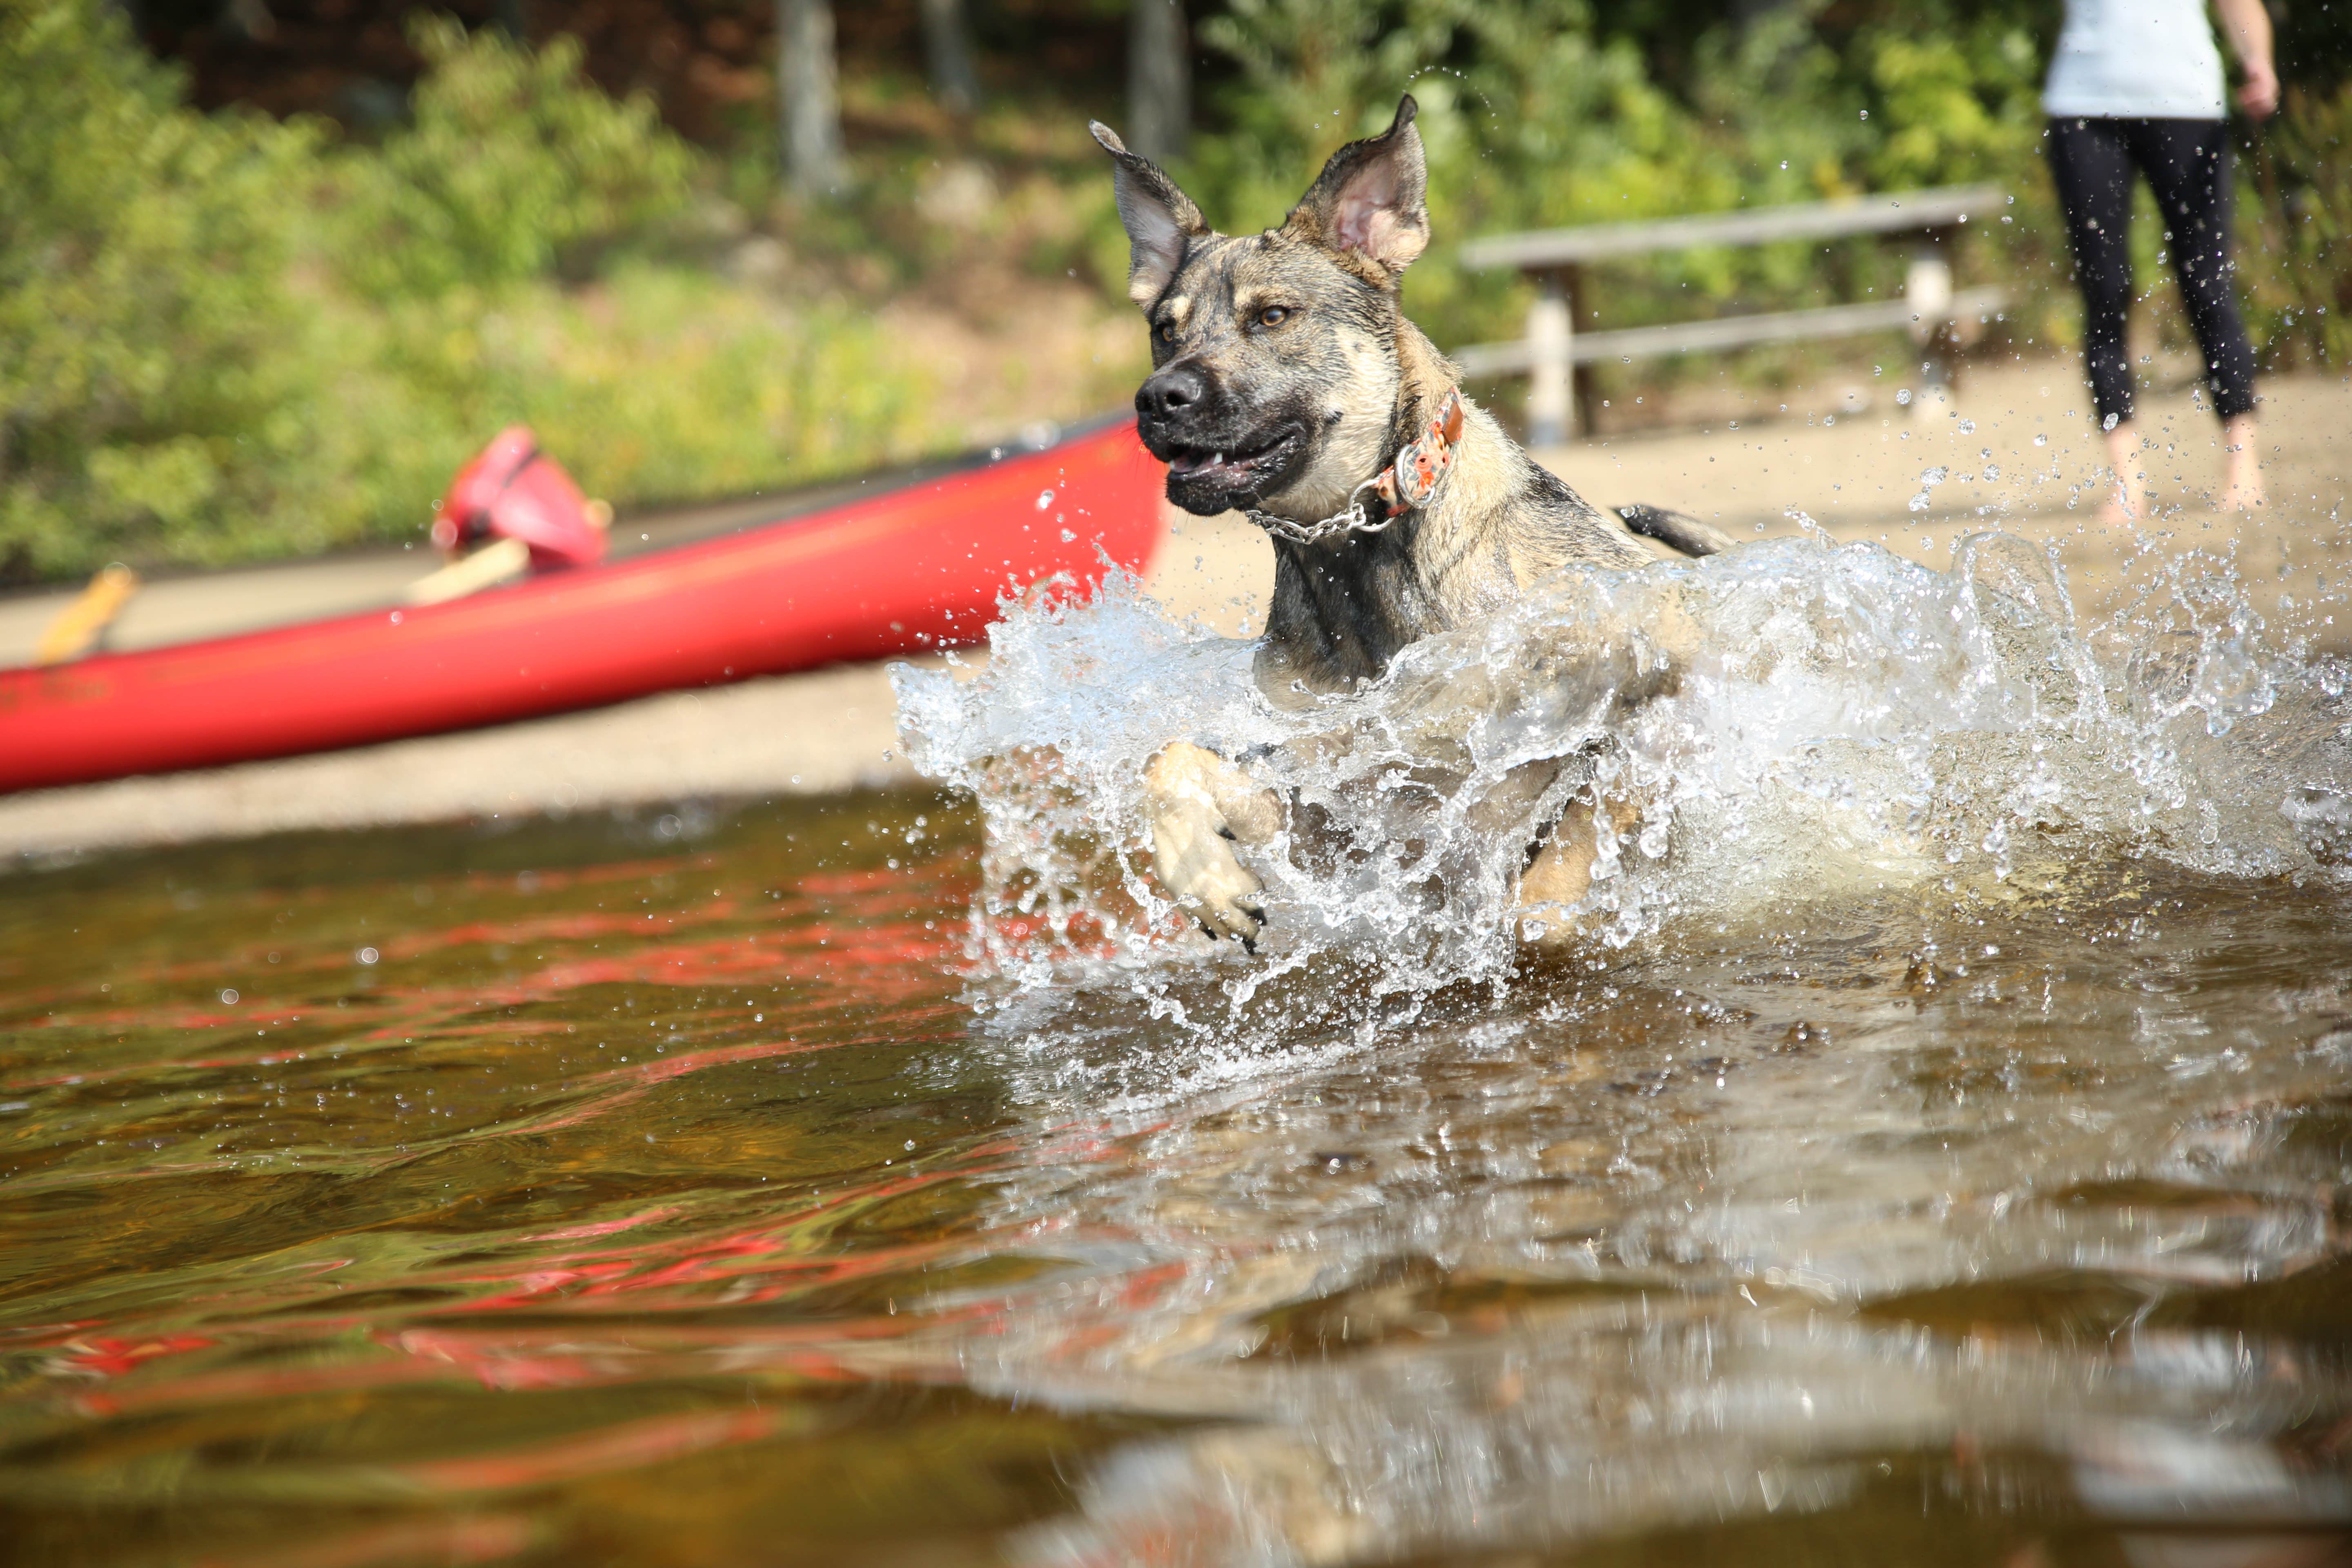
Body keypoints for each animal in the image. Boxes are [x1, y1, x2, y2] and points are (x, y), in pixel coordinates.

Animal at [1087, 101, 1731, 959]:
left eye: (1272, 316)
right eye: (1164, 329)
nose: (1159, 398)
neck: (1358, 558)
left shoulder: (1654, 668)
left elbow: (1580, 822)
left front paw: (1548, 899)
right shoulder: (1348, 802)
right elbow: (1173, 758)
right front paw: (1205, 874)